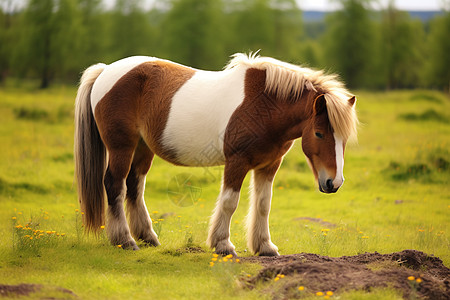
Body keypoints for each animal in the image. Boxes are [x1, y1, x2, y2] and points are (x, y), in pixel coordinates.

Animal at [74, 53, 358, 255]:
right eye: (319, 133)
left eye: (344, 138)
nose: (333, 183)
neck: (264, 103)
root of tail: (105, 71)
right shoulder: (237, 161)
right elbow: (230, 202)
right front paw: (223, 245)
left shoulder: (269, 165)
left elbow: (263, 204)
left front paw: (265, 247)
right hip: (122, 147)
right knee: (115, 185)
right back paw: (125, 240)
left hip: (143, 148)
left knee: (134, 185)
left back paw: (148, 237)